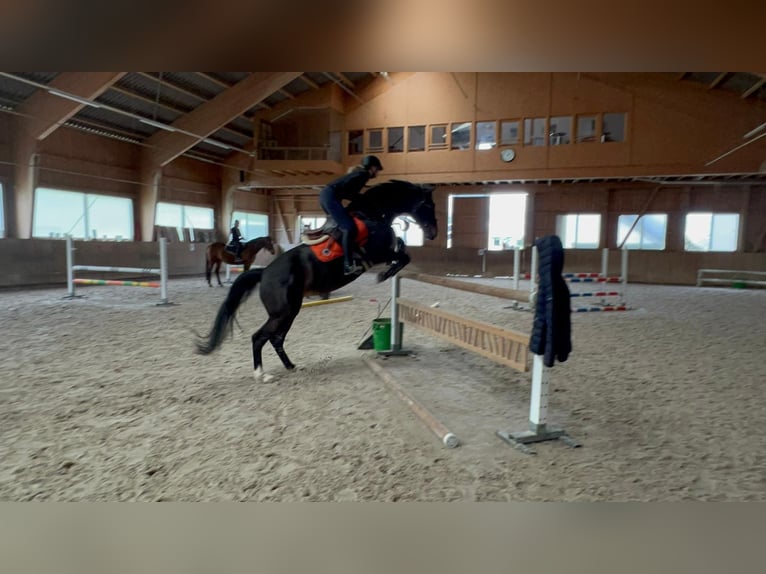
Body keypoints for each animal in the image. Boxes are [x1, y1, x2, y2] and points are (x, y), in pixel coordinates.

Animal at [195, 181, 438, 382]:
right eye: (428, 205)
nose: (434, 233)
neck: (374, 216)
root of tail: (264, 273)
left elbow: (401, 249)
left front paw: (389, 269)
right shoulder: (377, 254)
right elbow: (402, 255)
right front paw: (384, 275)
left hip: (291, 311)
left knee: (276, 339)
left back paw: (291, 366)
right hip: (283, 312)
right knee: (259, 337)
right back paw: (261, 374)